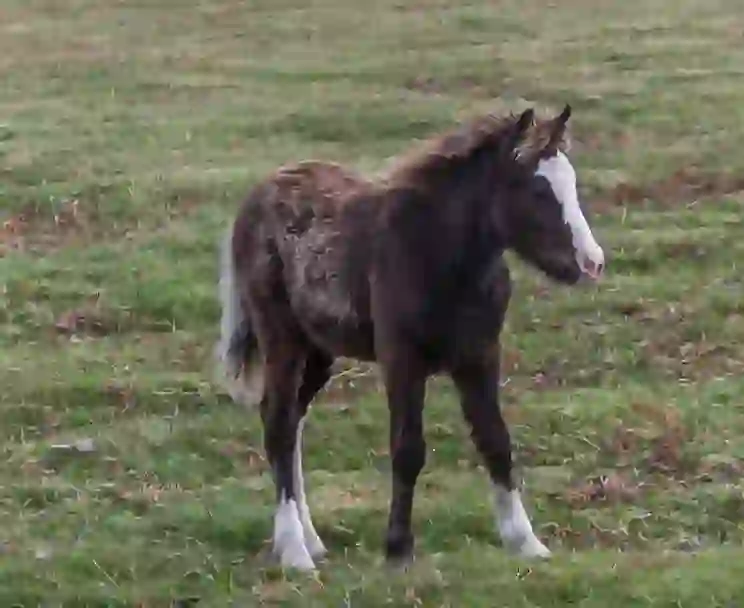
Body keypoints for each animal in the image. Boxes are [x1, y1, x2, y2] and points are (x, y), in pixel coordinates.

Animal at [215, 104, 604, 568]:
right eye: (537, 191)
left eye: (572, 183)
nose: (593, 263)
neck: (435, 254)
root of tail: (255, 197)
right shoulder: (402, 360)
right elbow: (407, 449)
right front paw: (398, 549)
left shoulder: (479, 357)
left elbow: (496, 441)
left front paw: (525, 542)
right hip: (282, 339)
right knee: (277, 423)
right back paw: (294, 551)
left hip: (320, 350)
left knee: (292, 423)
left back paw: (311, 540)